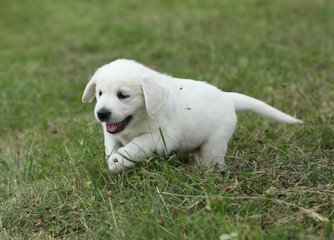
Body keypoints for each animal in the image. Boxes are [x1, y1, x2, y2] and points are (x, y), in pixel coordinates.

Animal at [81, 59, 302, 173]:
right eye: (100, 93)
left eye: (123, 95)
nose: (101, 113)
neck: (139, 119)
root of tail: (227, 97)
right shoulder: (111, 133)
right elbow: (111, 145)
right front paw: (113, 159)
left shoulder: (163, 136)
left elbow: (138, 144)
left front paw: (119, 160)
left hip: (215, 143)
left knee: (213, 160)